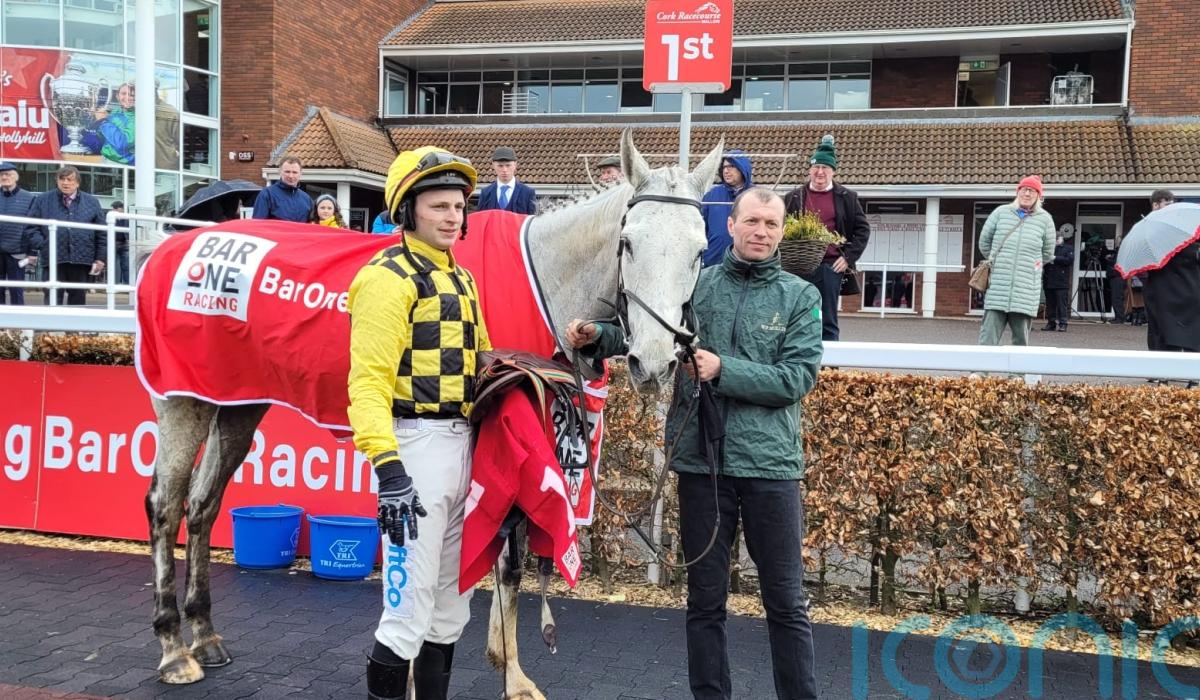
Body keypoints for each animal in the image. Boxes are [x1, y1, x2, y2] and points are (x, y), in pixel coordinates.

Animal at [141, 130, 723, 699]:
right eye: (628, 243)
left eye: (699, 251)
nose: (654, 361)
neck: (543, 278)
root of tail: (172, 246)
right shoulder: (506, 430)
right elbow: (504, 564)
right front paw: (509, 676)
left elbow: (504, 566)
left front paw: (506, 665)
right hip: (182, 401)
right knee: (166, 506)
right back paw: (173, 649)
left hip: (237, 404)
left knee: (203, 505)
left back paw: (205, 636)